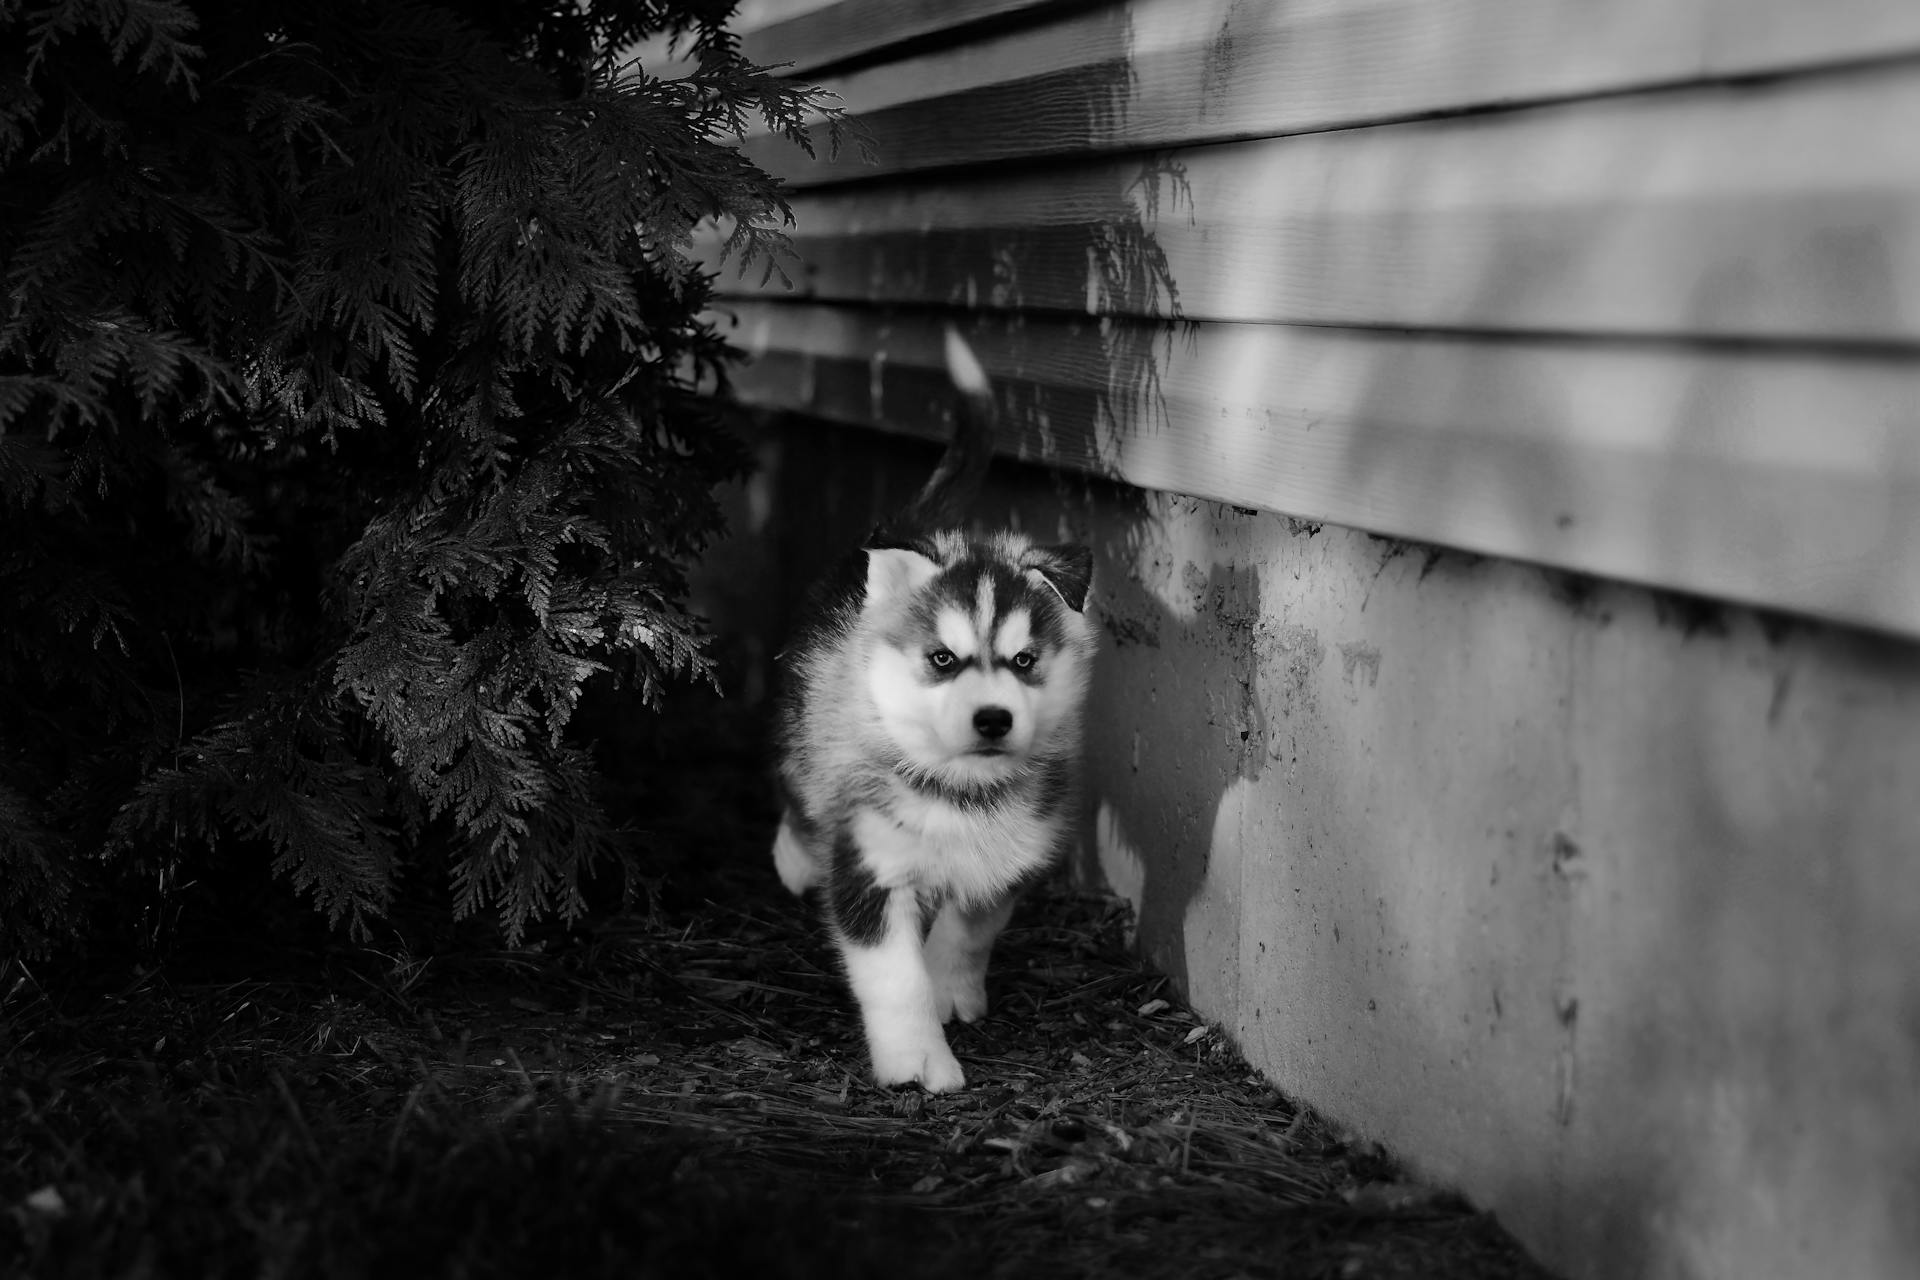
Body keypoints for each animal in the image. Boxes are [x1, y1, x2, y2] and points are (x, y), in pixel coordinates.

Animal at [764, 330, 1098, 1090]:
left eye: (1024, 661)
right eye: (942, 660)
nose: (993, 719)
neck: (961, 792)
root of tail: (907, 525)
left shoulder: (1009, 857)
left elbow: (970, 931)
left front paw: (953, 989)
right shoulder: (871, 866)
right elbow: (894, 978)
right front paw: (917, 1059)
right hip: (805, 723)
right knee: (795, 786)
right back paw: (795, 857)